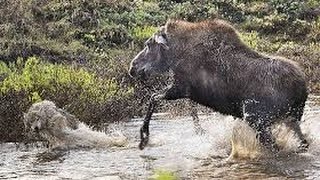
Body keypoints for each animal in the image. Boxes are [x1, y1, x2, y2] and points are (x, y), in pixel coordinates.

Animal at [129, 19, 308, 153]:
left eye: (148, 44)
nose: (132, 67)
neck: (176, 52)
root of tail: (301, 89)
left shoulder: (180, 87)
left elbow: (153, 98)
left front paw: (144, 138)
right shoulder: (188, 91)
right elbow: (192, 111)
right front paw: (200, 131)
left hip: (257, 119)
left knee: (275, 147)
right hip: (291, 118)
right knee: (303, 142)